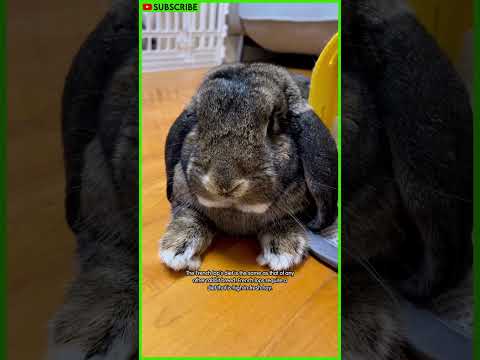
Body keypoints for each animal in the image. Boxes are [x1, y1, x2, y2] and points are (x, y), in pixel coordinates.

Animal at [158, 63, 338, 272]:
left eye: (273, 123)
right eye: (198, 121)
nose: (224, 184)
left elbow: (285, 220)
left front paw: (284, 251)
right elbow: (189, 216)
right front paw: (176, 249)